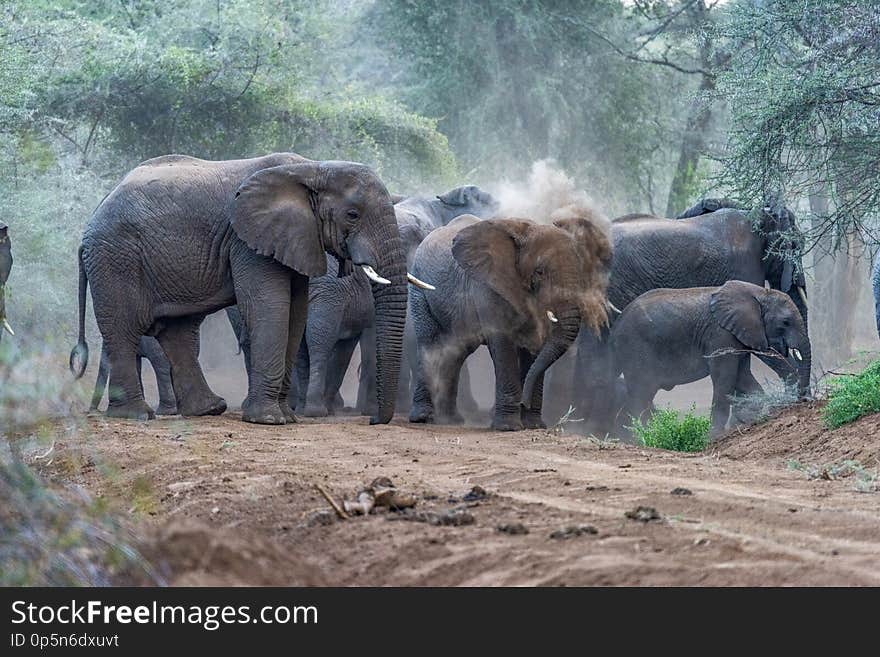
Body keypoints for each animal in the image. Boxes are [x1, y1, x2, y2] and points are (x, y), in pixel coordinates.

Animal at [70, 152, 410, 426]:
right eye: (353, 214)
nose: (373, 421)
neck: (312, 168)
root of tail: (90, 223)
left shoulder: (293, 239)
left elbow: (296, 313)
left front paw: (286, 417)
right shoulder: (247, 240)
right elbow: (269, 306)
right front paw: (269, 421)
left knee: (176, 330)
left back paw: (208, 410)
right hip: (116, 258)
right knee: (124, 328)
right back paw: (136, 415)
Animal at [608, 278, 808, 436]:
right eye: (785, 322)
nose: (801, 401)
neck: (759, 293)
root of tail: (616, 326)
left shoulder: (738, 335)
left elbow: (743, 376)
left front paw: (746, 419)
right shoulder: (720, 334)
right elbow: (724, 378)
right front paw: (714, 435)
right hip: (635, 348)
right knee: (641, 395)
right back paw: (645, 435)